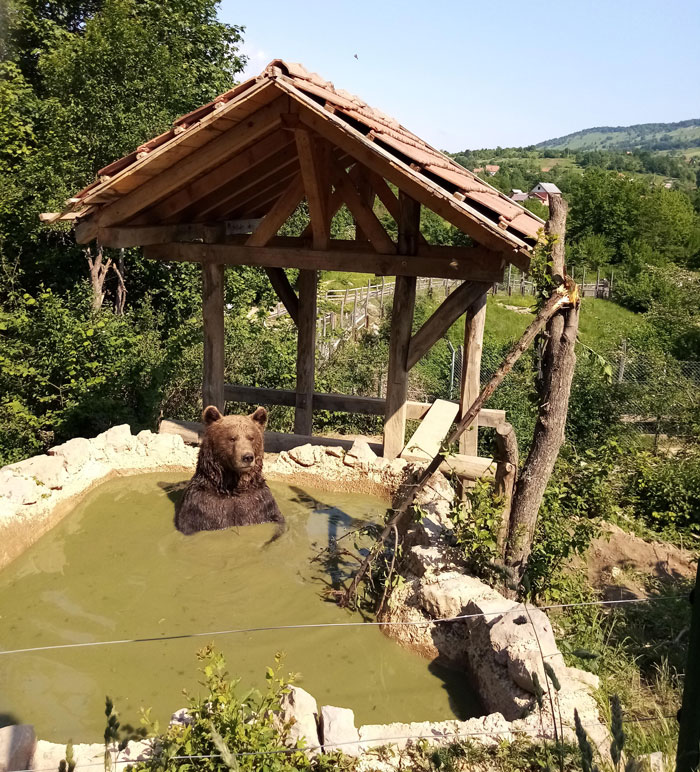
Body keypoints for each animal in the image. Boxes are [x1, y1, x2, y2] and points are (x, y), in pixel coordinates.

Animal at [174, 405, 284, 535]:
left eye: (251, 437)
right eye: (232, 438)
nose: (247, 457)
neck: (232, 486)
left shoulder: (260, 503)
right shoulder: (201, 506)